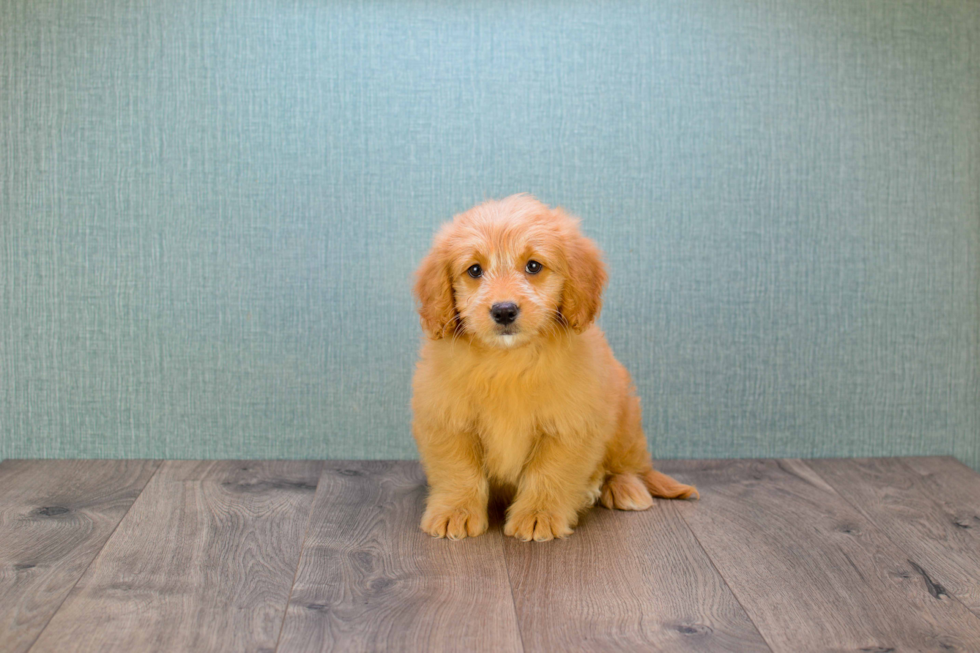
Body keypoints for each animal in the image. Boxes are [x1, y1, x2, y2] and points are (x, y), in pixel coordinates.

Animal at [412, 194, 696, 540]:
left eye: (534, 266)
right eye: (474, 270)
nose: (504, 310)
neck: (508, 362)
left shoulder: (571, 423)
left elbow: (549, 472)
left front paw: (539, 516)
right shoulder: (447, 419)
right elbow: (458, 470)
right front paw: (456, 512)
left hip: (625, 420)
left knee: (630, 466)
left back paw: (623, 489)